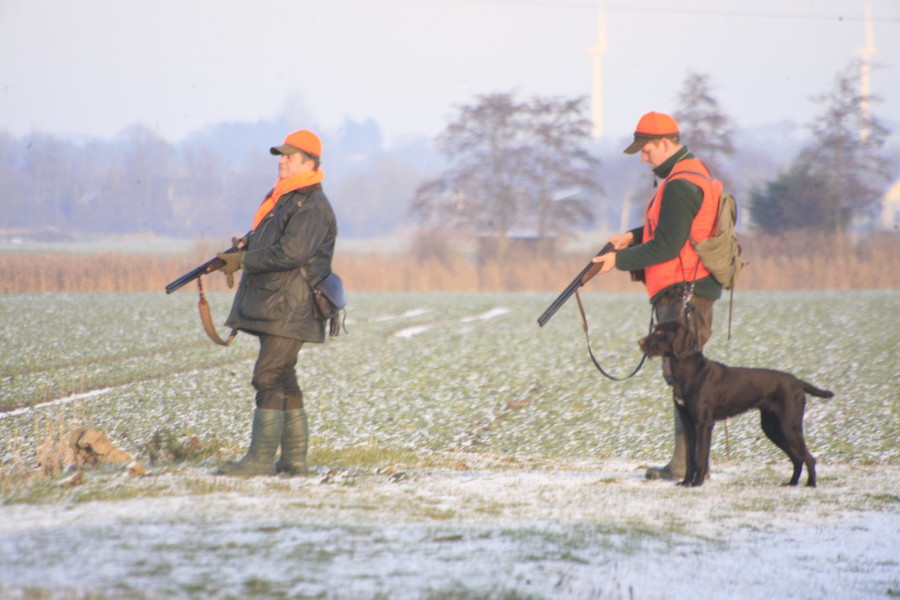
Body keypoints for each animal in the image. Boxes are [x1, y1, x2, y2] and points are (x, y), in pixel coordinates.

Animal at [639, 321, 833, 488]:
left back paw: (811, 484)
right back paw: (792, 483)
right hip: (772, 428)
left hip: (789, 426)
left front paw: (697, 483)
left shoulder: (704, 424)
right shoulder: (688, 423)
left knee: (808, 457)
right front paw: (686, 482)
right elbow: (690, 458)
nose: (639, 342)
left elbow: (701, 456)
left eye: (660, 332)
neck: (689, 371)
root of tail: (798, 382)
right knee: (797, 458)